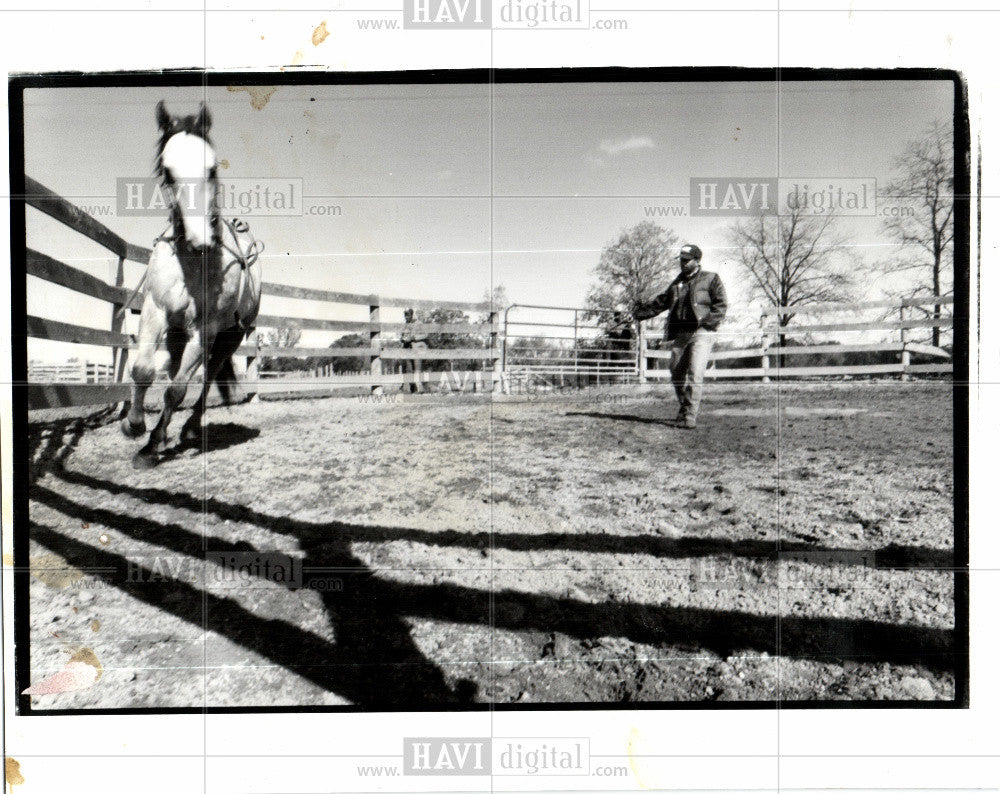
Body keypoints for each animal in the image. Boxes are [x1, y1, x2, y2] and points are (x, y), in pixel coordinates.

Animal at [121, 101, 264, 468]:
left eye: (211, 169)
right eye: (168, 172)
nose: (202, 238)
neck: (193, 263)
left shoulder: (206, 329)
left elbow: (177, 389)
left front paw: (150, 445)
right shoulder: (155, 311)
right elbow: (143, 370)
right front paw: (134, 425)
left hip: (230, 336)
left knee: (208, 375)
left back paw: (186, 428)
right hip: (176, 333)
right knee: (174, 368)